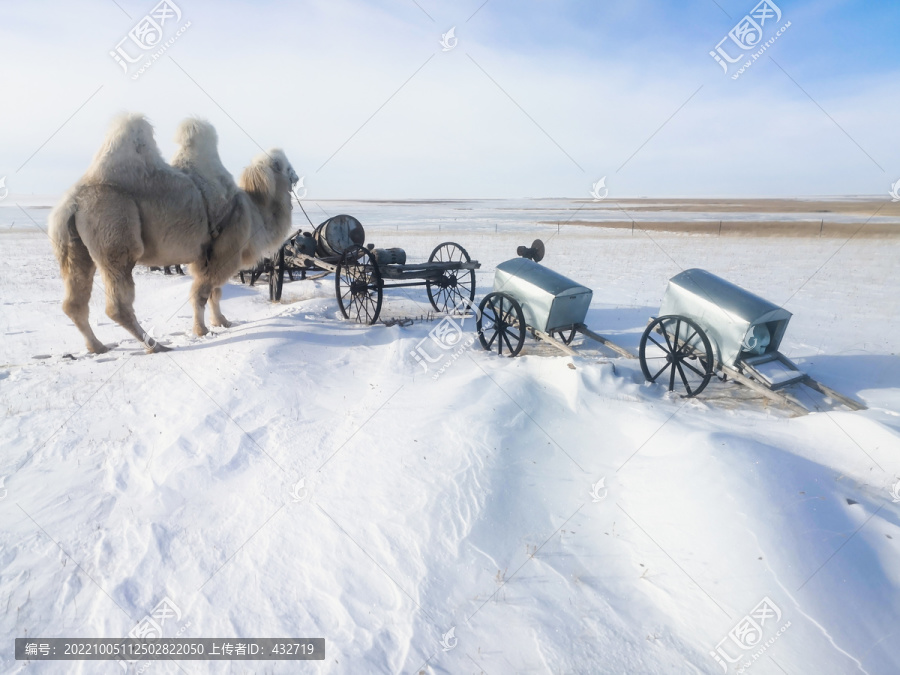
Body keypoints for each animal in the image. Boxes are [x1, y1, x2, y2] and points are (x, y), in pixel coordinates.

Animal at [49, 112, 298, 354]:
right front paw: (202, 330)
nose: (296, 177)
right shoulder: (225, 252)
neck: (254, 210)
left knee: (74, 301)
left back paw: (98, 346)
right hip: (114, 228)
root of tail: (74, 203)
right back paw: (155, 345)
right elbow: (202, 294)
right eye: (286, 166)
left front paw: (222, 322)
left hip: (72, 245)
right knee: (117, 303)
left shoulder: (208, 255)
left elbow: (215, 292)